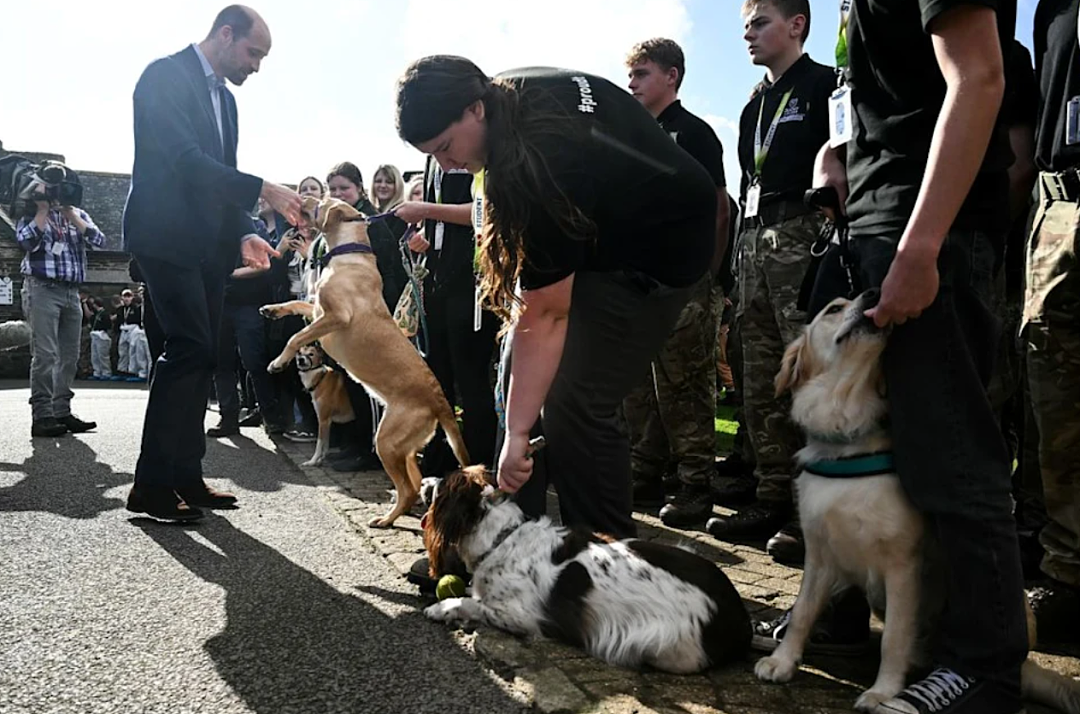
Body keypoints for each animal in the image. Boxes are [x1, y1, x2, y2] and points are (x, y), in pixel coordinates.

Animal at [261, 197, 468, 527]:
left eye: (320, 202)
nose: (302, 199)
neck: (348, 255)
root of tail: (441, 401)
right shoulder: (317, 310)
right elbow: (295, 304)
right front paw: (272, 309)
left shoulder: (335, 317)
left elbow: (294, 337)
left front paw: (278, 362)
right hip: (405, 448)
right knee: (413, 482)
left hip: (385, 440)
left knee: (408, 488)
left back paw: (386, 519)